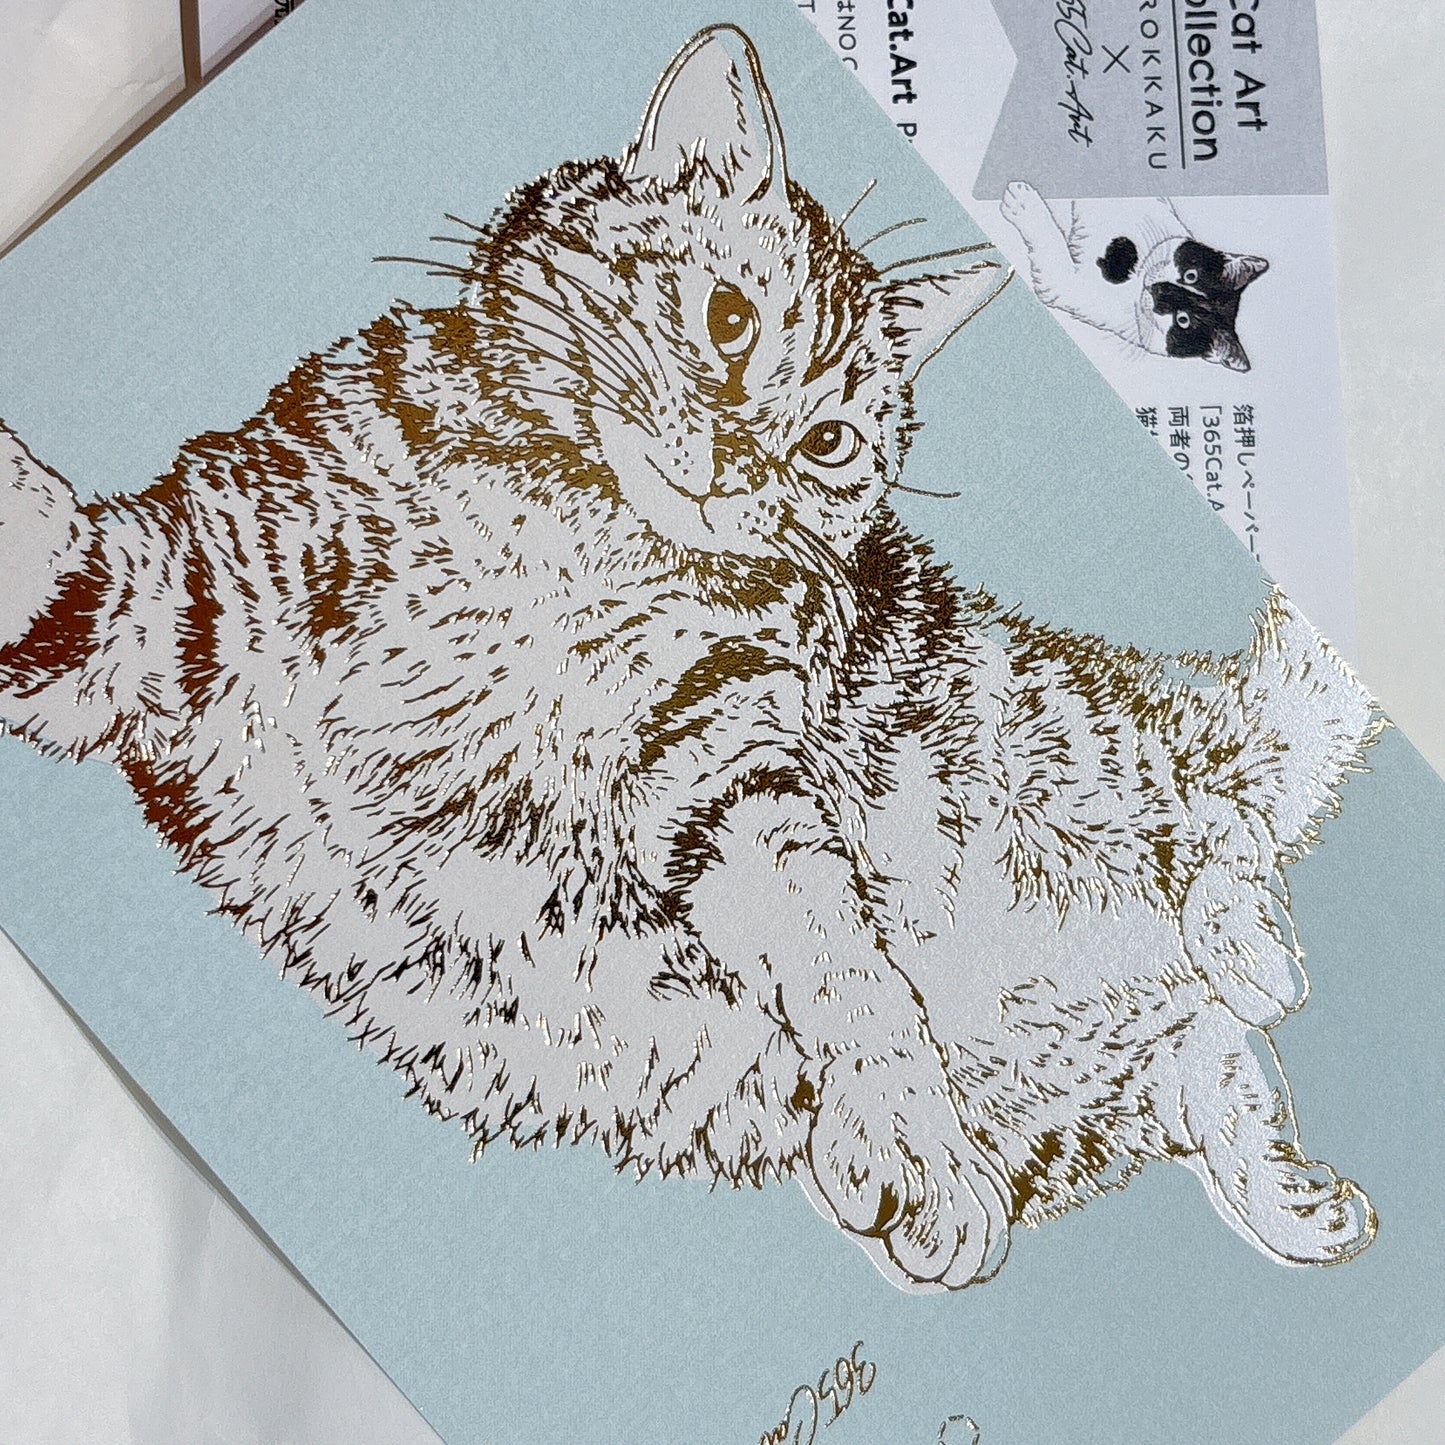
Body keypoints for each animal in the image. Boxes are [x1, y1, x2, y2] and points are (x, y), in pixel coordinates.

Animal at [999, 183, 1268, 371]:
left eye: (1183, 320)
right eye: (1191, 275)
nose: (1159, 291)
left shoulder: (1070, 287)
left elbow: (1051, 244)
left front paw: (1020, 201)